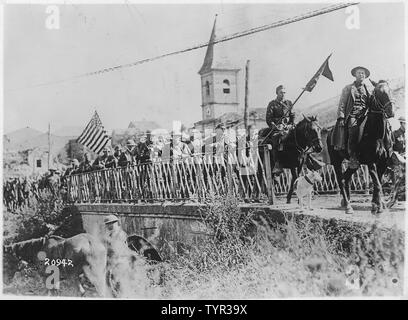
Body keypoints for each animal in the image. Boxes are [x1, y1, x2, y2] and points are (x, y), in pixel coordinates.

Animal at [326, 80, 396, 215]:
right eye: (377, 92)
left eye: (390, 90)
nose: (391, 111)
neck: (377, 133)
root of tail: (330, 132)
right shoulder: (371, 162)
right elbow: (377, 184)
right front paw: (379, 207)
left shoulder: (383, 163)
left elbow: (377, 183)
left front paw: (375, 205)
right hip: (336, 161)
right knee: (341, 180)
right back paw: (348, 206)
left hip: (355, 164)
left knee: (346, 178)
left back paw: (345, 202)